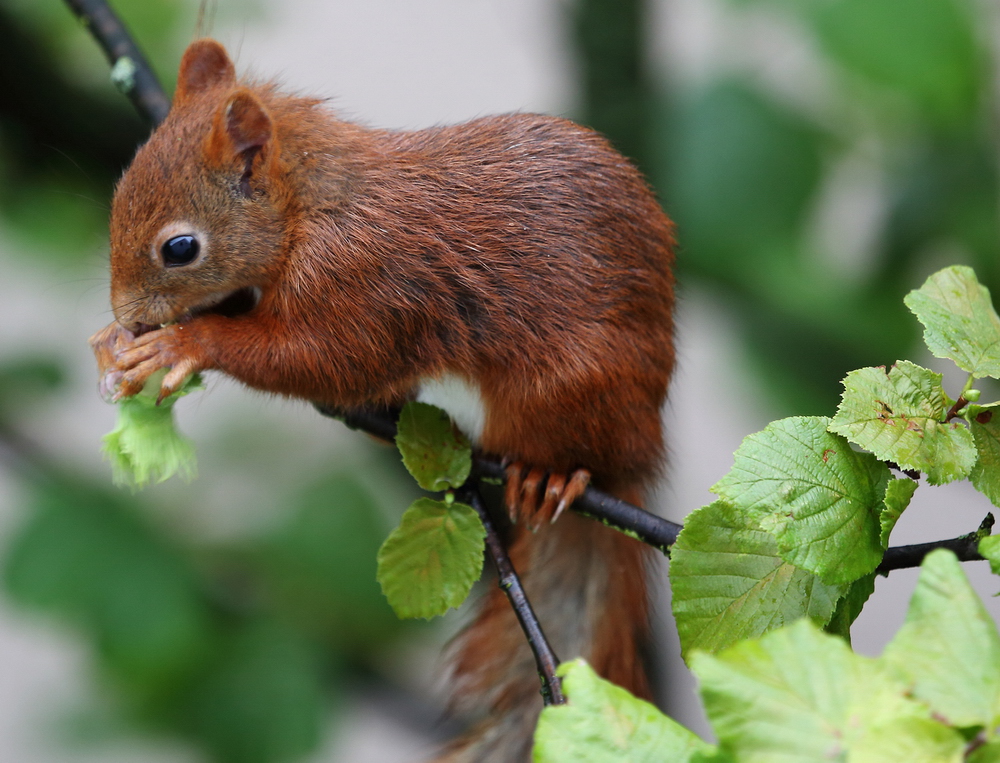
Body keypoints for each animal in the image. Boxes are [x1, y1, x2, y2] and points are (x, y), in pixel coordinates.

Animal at [92, 40, 672, 760]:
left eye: (180, 248)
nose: (128, 315)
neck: (311, 204)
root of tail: (644, 449)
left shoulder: (362, 281)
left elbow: (319, 360)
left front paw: (184, 343)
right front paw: (114, 343)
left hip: (569, 391)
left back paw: (554, 475)